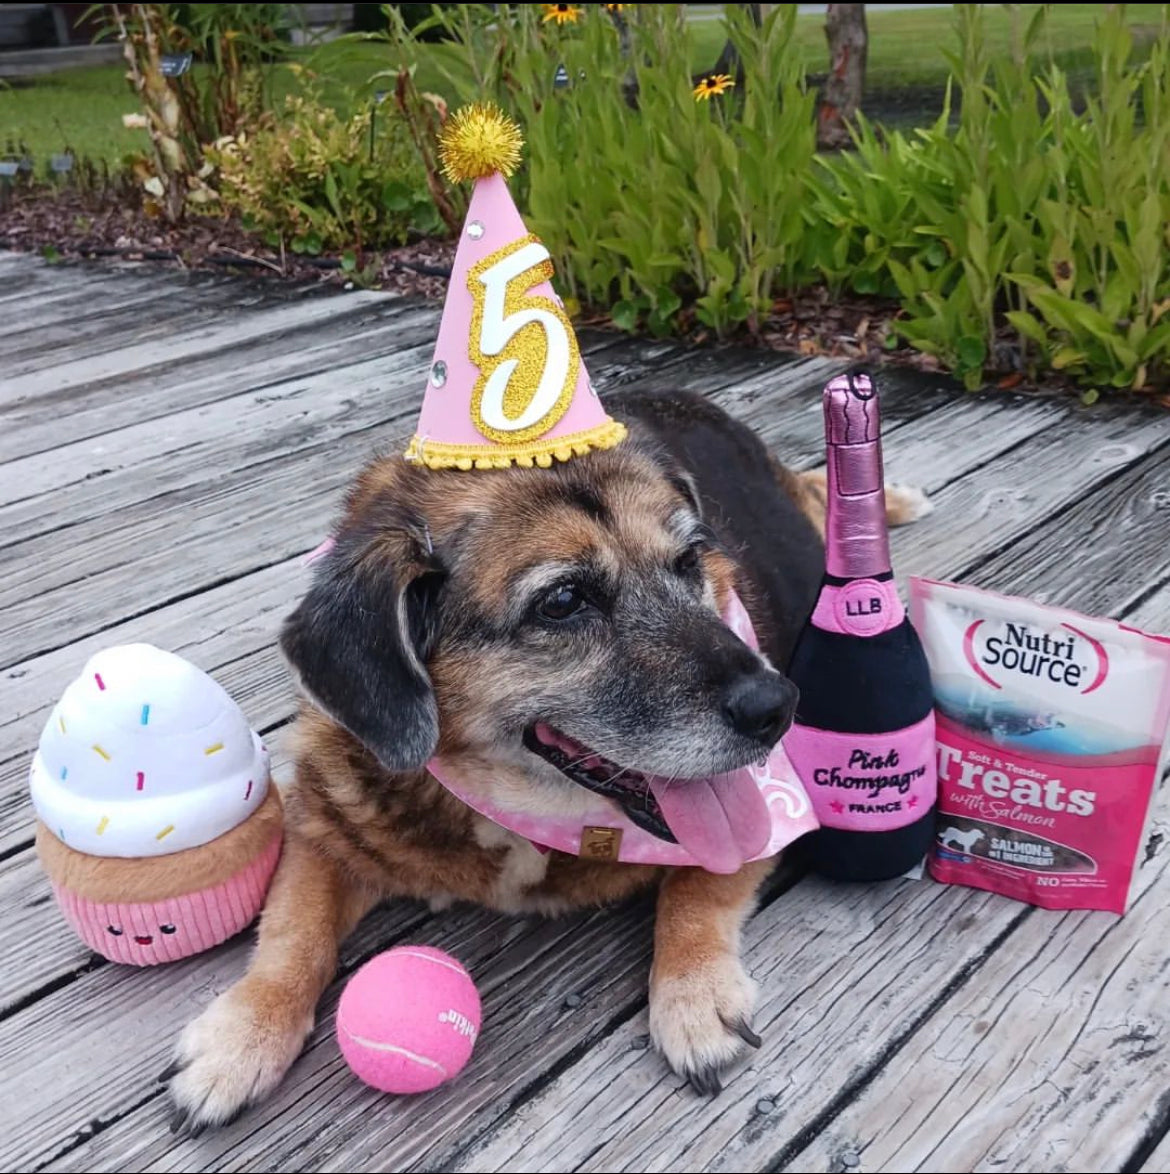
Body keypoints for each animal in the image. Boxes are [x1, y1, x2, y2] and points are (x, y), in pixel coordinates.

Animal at [164, 387, 929, 1127]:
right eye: (563, 601)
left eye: (689, 564)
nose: (780, 706)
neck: (515, 814)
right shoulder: (323, 826)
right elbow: (292, 933)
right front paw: (241, 1036)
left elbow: (701, 887)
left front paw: (694, 994)